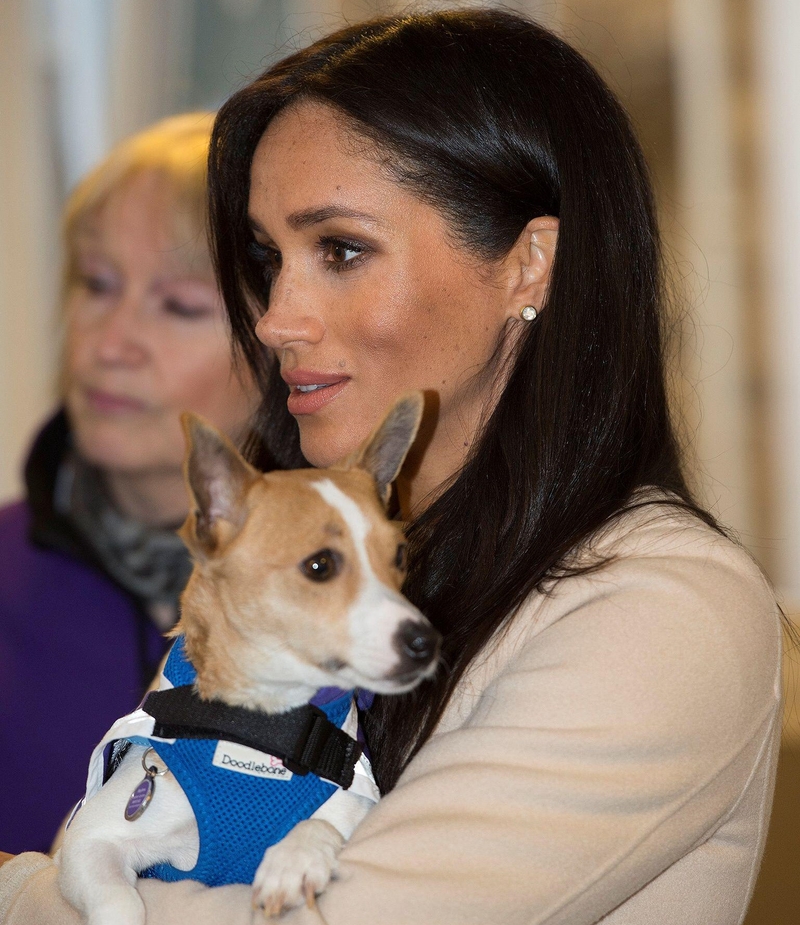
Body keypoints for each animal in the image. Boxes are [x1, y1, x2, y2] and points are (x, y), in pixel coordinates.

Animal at [56, 394, 440, 924]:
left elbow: (320, 825)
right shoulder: (90, 841)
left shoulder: (353, 803)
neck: (265, 726)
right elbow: (120, 902)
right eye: (320, 565)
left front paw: (292, 861)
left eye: (400, 556)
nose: (426, 642)